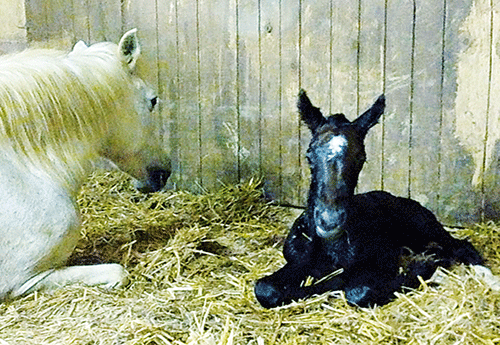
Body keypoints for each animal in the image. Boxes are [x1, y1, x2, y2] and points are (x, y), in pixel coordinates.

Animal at [254, 90, 484, 308]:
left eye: (361, 157)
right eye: (309, 155)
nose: (329, 223)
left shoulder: (378, 263)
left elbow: (356, 291)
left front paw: (422, 267)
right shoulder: (297, 260)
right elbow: (265, 289)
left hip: (425, 227)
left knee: (462, 246)